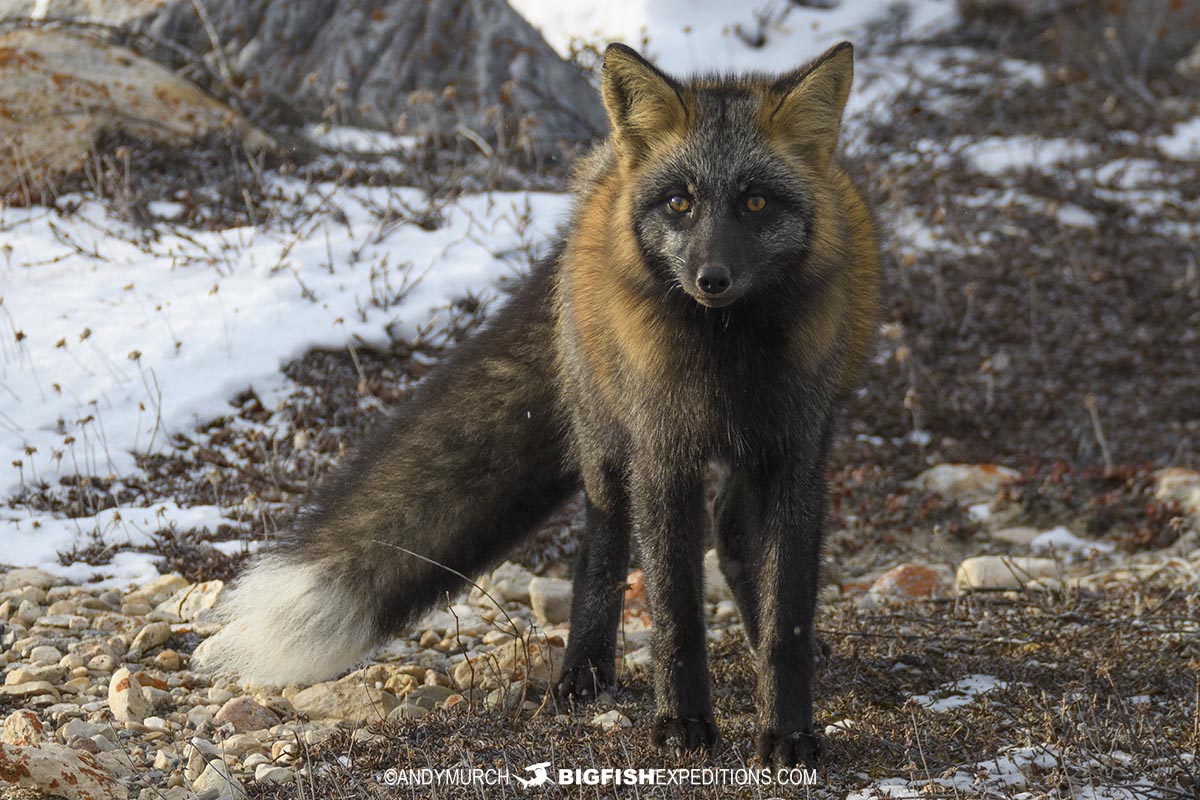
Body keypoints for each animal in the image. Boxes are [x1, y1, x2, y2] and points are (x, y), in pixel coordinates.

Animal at [196, 41, 879, 768]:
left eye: (754, 202)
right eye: (680, 203)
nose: (711, 278)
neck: (726, 358)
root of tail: (596, 183)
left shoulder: (795, 454)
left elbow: (788, 623)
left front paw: (789, 730)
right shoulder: (662, 455)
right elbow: (675, 615)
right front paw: (683, 723)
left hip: (750, 452)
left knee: (730, 534)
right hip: (609, 447)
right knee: (602, 549)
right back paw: (584, 672)